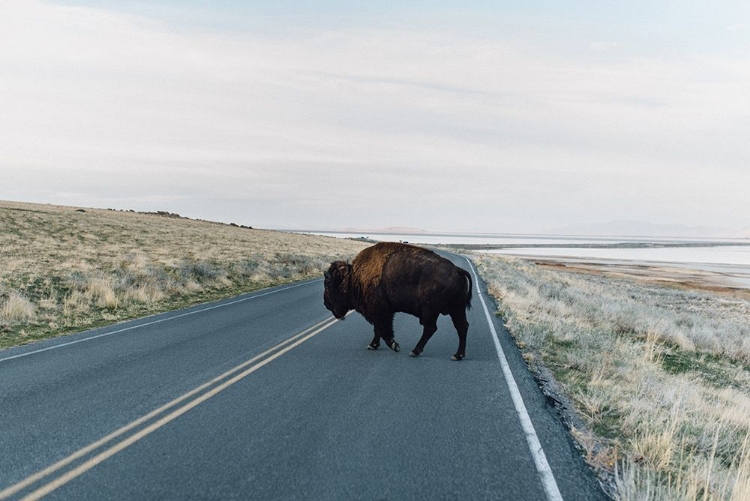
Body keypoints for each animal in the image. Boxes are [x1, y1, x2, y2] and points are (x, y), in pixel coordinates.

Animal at [322, 242, 470, 360]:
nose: (326, 304)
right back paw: (458, 355)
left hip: (431, 310)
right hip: (456, 309)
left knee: (431, 328)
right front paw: (373, 345)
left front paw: (394, 345)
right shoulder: (382, 312)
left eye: (328, 284)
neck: (353, 277)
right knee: (462, 326)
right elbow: (377, 329)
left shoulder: (380, 311)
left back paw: (415, 351)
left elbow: (382, 329)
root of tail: (457, 270)